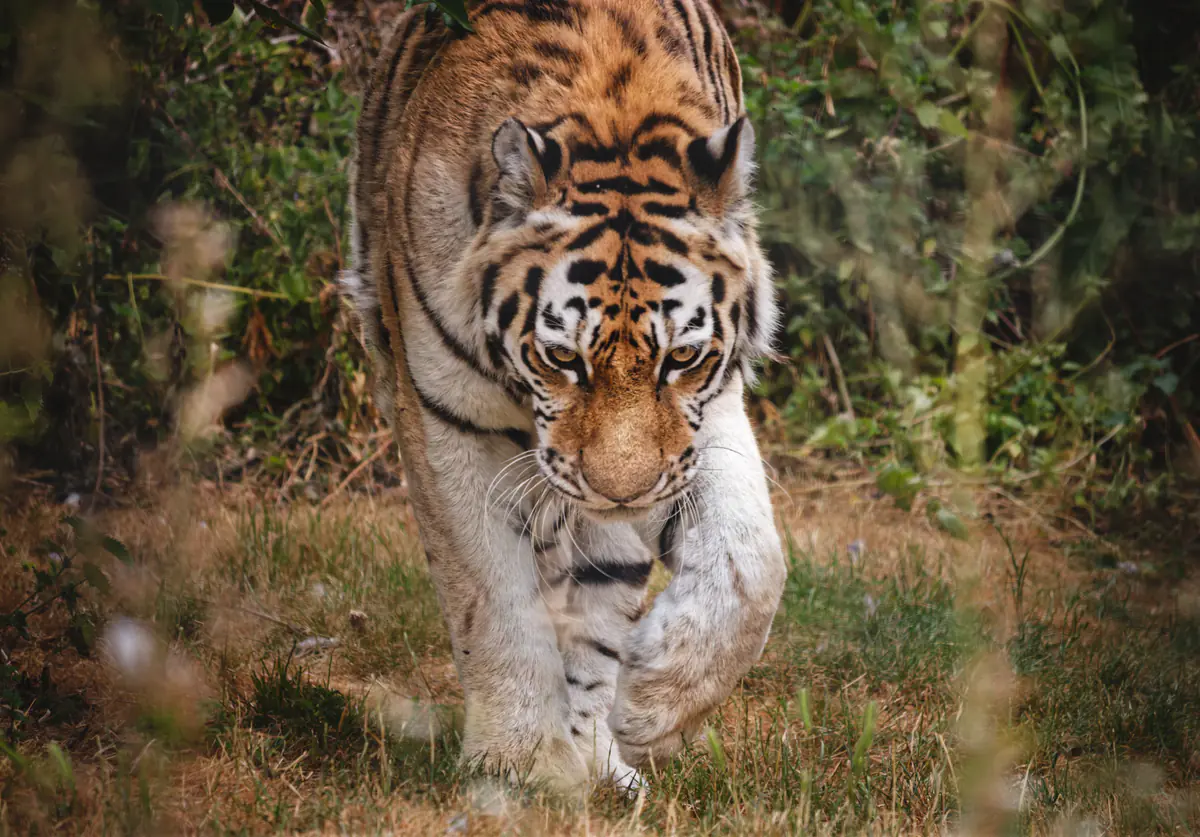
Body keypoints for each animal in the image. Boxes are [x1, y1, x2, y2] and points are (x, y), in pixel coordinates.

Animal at [341, 0, 786, 793]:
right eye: (561, 357)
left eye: (682, 357)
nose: (620, 491)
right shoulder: (447, 420)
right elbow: (493, 601)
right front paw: (512, 763)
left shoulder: (705, 415)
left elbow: (752, 564)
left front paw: (651, 707)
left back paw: (599, 756)